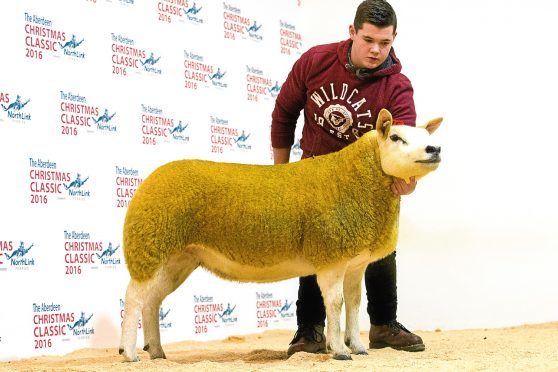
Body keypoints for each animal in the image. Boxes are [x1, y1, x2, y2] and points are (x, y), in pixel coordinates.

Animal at [119, 107, 446, 360]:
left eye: (428, 139)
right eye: (395, 138)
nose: (435, 150)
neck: (353, 180)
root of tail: (149, 180)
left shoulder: (355, 262)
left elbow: (353, 305)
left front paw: (358, 347)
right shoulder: (331, 257)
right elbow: (336, 304)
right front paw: (340, 350)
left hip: (176, 257)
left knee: (152, 301)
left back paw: (157, 352)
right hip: (149, 245)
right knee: (134, 299)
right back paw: (129, 353)